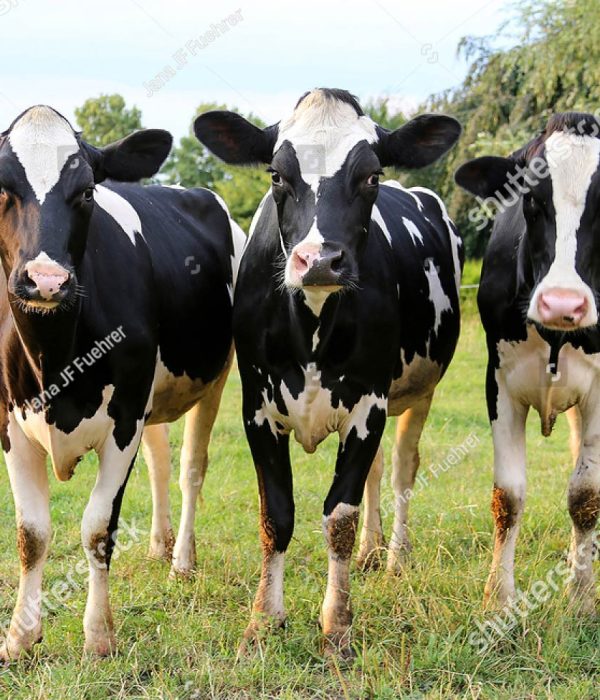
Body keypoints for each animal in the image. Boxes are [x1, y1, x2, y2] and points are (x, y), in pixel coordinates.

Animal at [0, 105, 244, 660]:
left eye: (87, 191)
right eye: (1, 187)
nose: (46, 281)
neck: (53, 356)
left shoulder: (124, 419)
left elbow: (97, 528)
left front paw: (98, 635)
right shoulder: (9, 425)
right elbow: (31, 534)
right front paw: (21, 636)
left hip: (217, 374)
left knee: (190, 467)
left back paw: (181, 561)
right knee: (160, 462)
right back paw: (159, 545)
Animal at [194, 88, 463, 658]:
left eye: (372, 176)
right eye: (276, 174)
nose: (319, 260)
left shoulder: (368, 407)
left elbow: (339, 516)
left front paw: (336, 625)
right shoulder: (257, 409)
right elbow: (276, 514)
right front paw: (262, 621)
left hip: (418, 390)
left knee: (402, 467)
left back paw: (394, 556)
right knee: (379, 474)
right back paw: (371, 551)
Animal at [455, 112, 600, 614]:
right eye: (531, 200)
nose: (564, 303)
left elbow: (585, 496)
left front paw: (580, 598)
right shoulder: (498, 382)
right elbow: (508, 497)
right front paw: (498, 599)